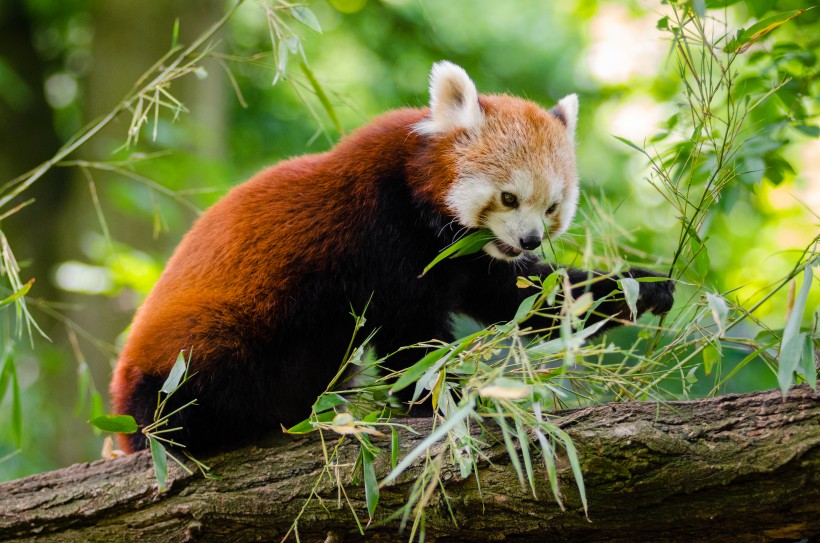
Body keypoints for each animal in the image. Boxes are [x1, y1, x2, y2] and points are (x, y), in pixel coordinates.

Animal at [110, 61, 672, 454]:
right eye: (509, 198)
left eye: (552, 207)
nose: (531, 240)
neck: (419, 195)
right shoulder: (382, 231)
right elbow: (410, 335)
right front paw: (450, 401)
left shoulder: (466, 257)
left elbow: (528, 298)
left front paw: (644, 287)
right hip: (203, 344)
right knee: (185, 394)